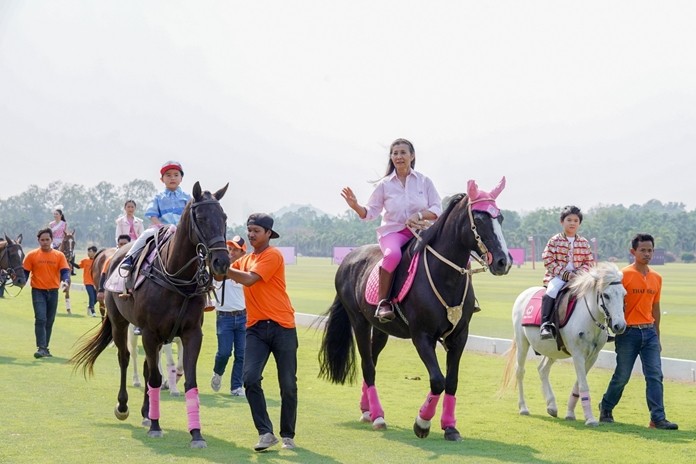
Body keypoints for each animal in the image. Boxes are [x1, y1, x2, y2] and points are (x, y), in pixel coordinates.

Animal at [70, 182, 230, 450]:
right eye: (201, 218)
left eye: (224, 217)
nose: (222, 262)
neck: (177, 279)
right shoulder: (150, 333)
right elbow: (155, 378)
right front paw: (156, 426)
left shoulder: (191, 334)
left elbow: (189, 381)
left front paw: (196, 433)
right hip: (121, 323)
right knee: (125, 358)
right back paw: (124, 406)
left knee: (146, 367)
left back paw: (146, 412)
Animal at [320, 179, 512, 442]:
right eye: (480, 219)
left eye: (500, 218)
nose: (504, 261)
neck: (446, 276)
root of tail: (349, 258)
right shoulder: (422, 336)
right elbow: (438, 380)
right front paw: (422, 423)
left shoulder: (459, 336)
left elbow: (452, 381)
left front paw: (450, 426)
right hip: (359, 322)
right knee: (368, 366)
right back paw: (378, 416)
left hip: (380, 329)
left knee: (372, 361)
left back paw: (367, 410)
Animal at [500, 262, 624, 426]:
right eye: (606, 295)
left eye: (624, 295)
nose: (619, 326)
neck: (588, 317)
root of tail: (524, 294)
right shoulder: (578, 355)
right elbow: (583, 385)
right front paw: (590, 419)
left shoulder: (592, 357)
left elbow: (578, 384)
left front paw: (570, 413)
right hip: (522, 342)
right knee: (520, 371)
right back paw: (523, 408)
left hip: (552, 350)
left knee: (543, 370)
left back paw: (551, 405)